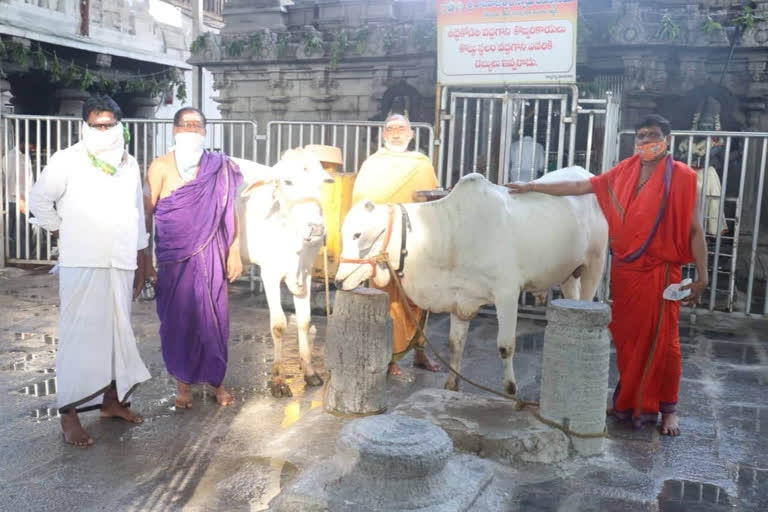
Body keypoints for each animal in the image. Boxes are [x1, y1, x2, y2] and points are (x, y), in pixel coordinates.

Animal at [234, 150, 330, 398]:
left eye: (322, 182)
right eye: (287, 182)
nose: (317, 228)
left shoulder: (305, 273)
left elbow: (305, 321)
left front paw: (309, 371)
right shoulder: (270, 273)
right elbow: (278, 325)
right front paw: (278, 380)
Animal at [334, 168, 608, 396]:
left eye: (357, 234)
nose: (338, 281)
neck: (449, 236)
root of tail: (585, 173)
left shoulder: (507, 293)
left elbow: (505, 346)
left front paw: (511, 390)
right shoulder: (461, 299)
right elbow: (455, 344)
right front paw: (451, 386)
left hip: (594, 266)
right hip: (569, 274)